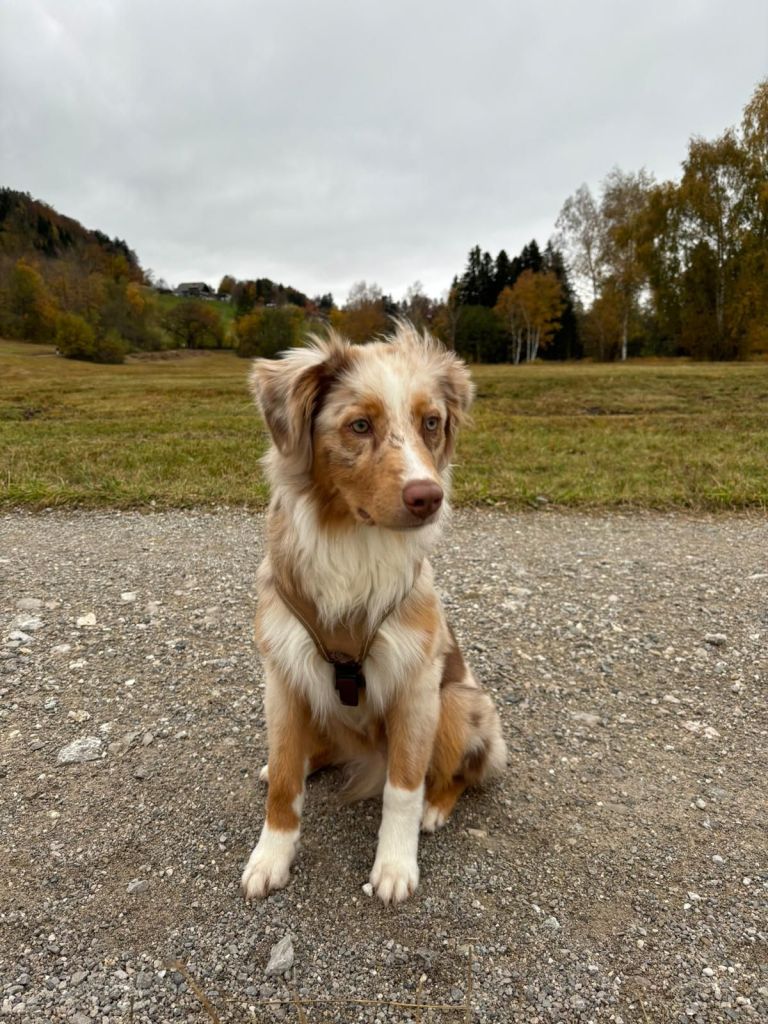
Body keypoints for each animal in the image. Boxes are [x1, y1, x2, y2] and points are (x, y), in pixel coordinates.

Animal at [241, 321, 506, 904]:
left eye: (431, 422)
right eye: (359, 425)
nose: (428, 496)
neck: (354, 543)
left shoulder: (416, 681)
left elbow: (403, 787)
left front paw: (395, 865)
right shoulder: (282, 675)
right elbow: (288, 780)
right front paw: (271, 855)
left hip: (461, 702)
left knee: (459, 771)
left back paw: (437, 807)